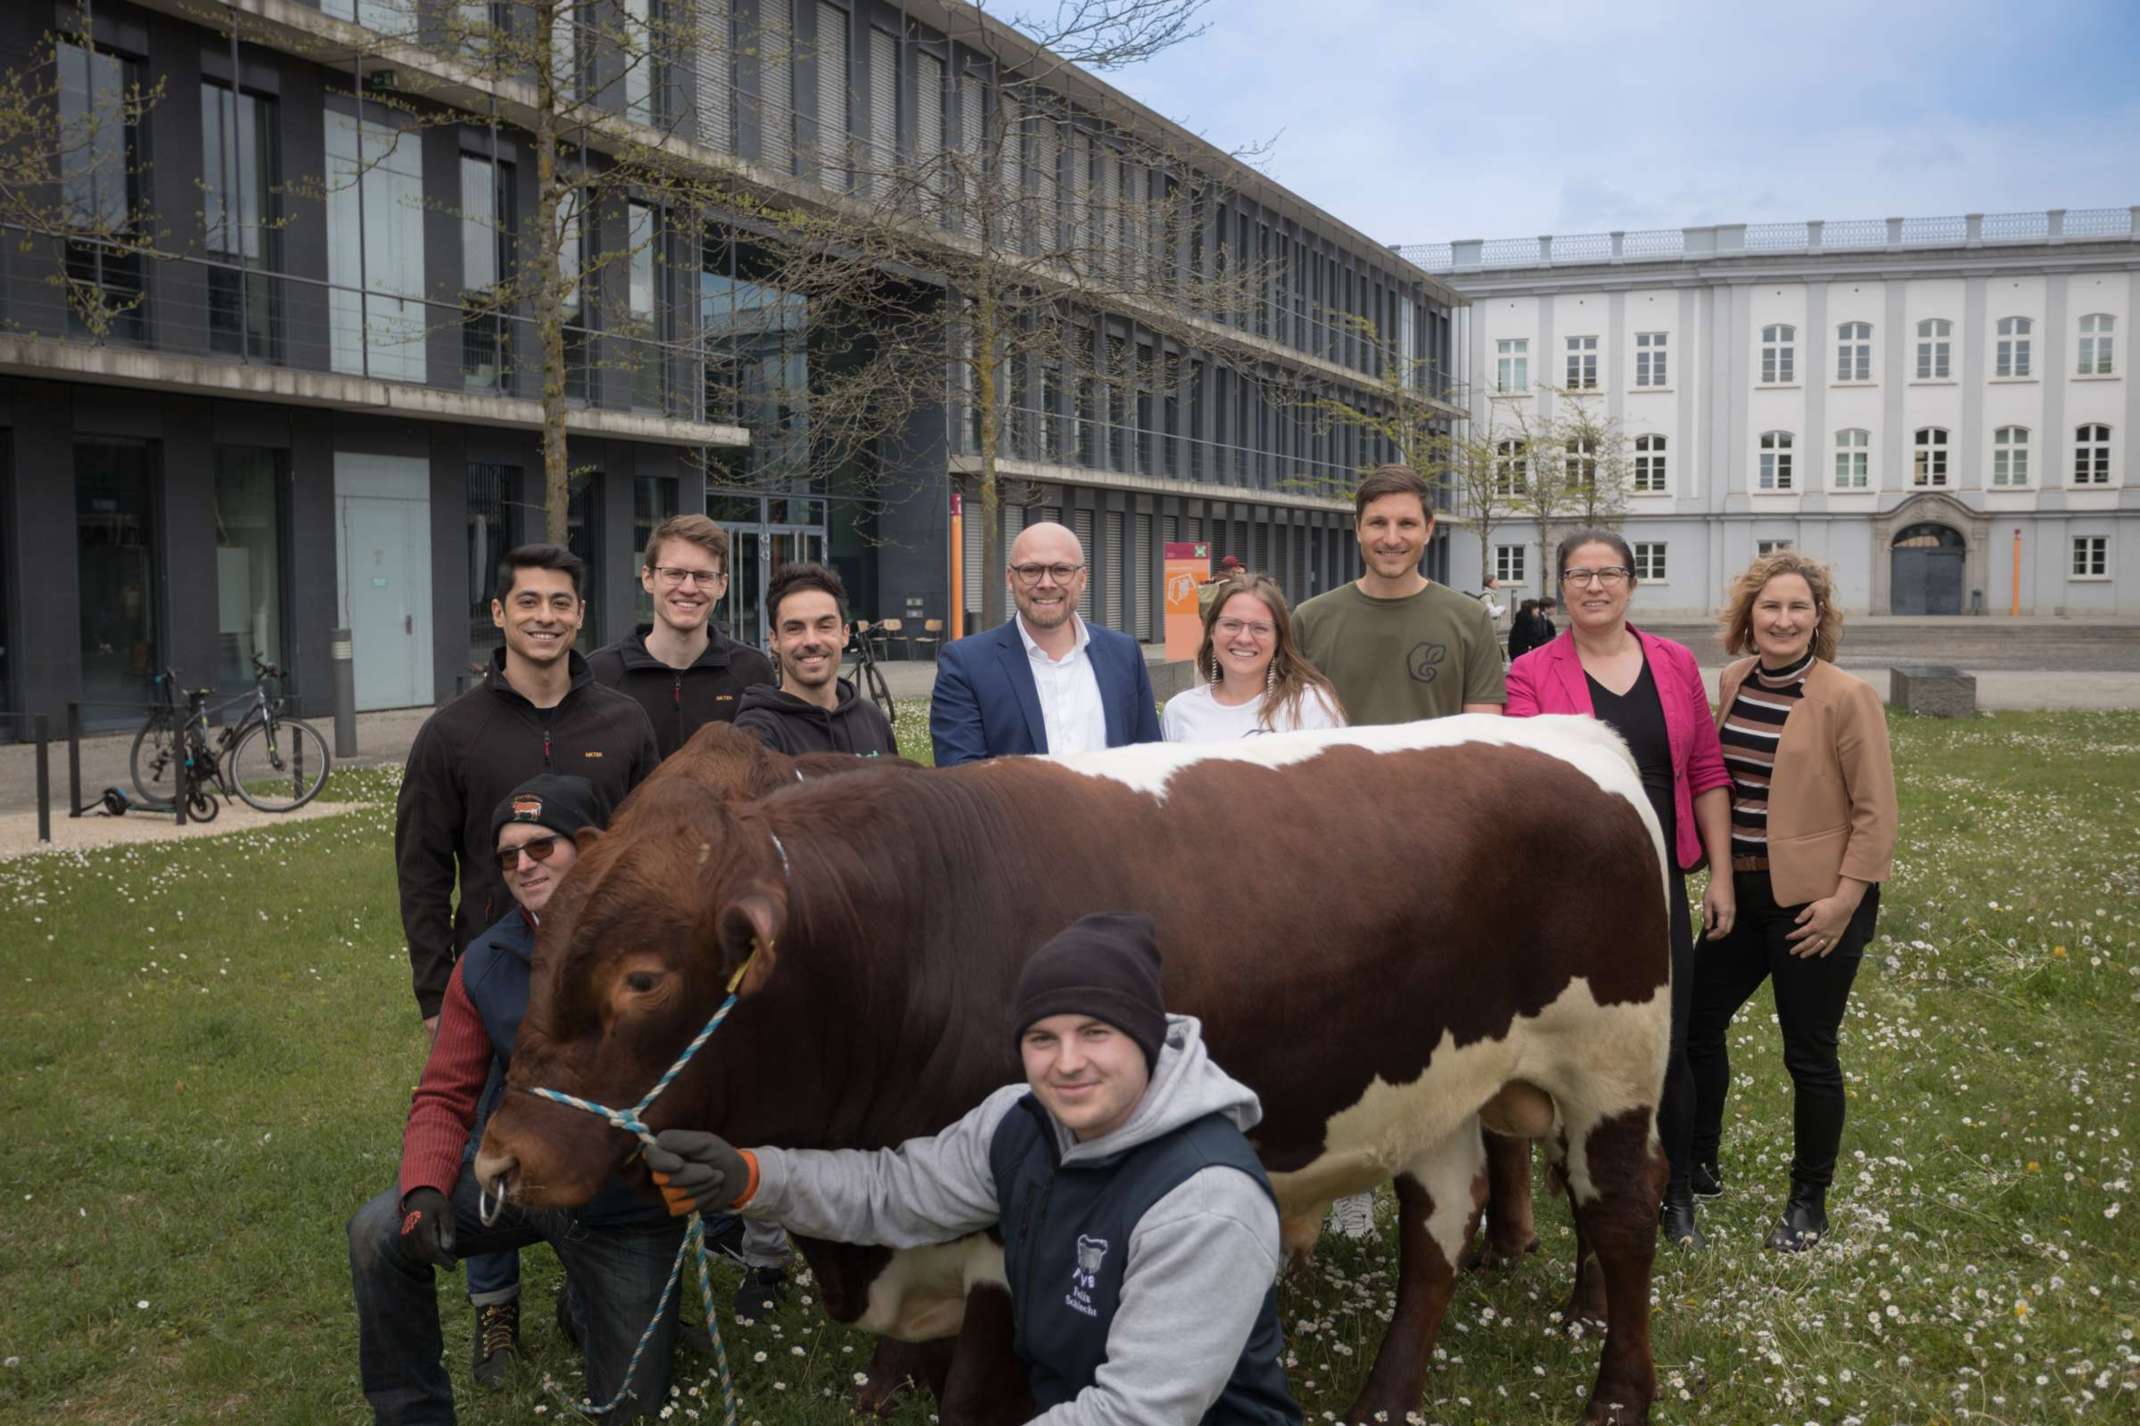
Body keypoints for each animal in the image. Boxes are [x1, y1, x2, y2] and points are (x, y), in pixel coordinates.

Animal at [481, 715, 1669, 1421]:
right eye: (541, 937)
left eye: (642, 977)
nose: (503, 1159)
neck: (898, 934)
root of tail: (1566, 732)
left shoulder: (1000, 1252)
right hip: (1434, 1086)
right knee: (1440, 1227)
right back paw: (1385, 1397)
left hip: (1610, 1066)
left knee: (1619, 1212)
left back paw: (1616, 1389)